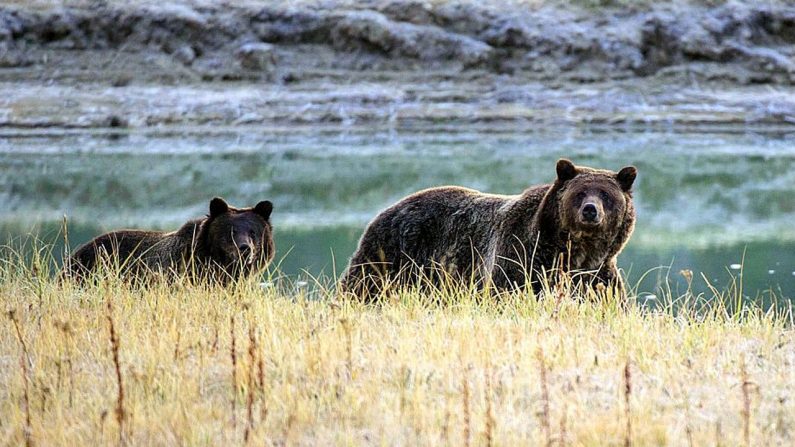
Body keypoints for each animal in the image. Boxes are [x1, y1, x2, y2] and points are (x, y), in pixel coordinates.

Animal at [338, 158, 636, 300]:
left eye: (606, 194)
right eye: (580, 193)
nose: (590, 210)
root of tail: (385, 210)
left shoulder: (596, 275)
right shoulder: (520, 258)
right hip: (393, 254)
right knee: (362, 286)